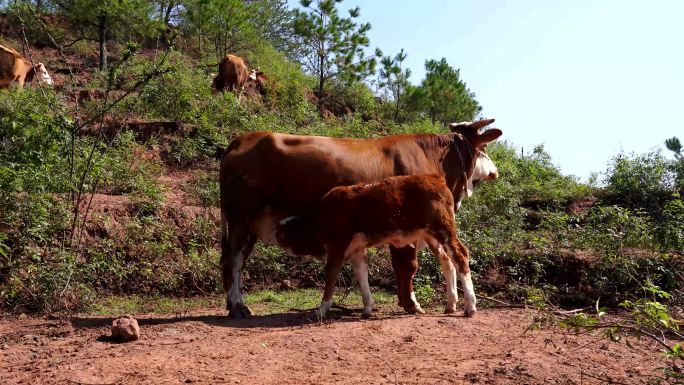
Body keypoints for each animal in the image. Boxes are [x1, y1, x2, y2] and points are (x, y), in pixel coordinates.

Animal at [316, 174, 476, 318]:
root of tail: (434, 177)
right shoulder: (357, 249)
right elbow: (361, 273)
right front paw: (367, 308)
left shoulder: (337, 243)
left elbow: (331, 272)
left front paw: (322, 309)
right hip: (432, 235)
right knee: (447, 260)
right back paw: (451, 304)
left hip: (443, 228)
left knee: (460, 255)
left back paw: (470, 306)